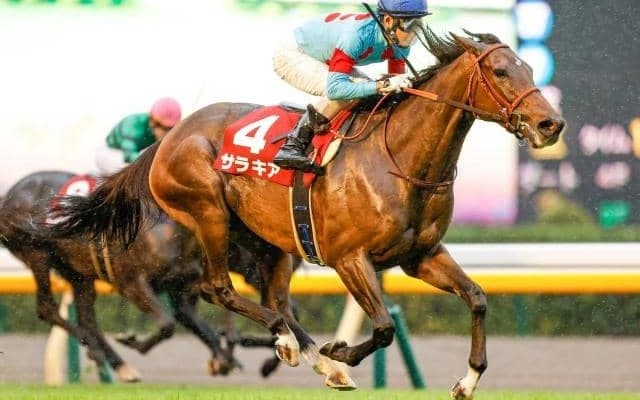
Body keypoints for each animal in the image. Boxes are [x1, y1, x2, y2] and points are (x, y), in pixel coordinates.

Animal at [0, 170, 286, 381]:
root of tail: (10, 194)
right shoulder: (131, 283)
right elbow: (167, 324)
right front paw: (131, 340)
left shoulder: (180, 288)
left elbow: (191, 325)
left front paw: (227, 357)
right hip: (37, 254)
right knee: (47, 308)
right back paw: (98, 353)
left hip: (77, 271)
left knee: (87, 317)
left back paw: (117, 364)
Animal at [43, 29, 565, 398]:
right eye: (501, 71)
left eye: (527, 67)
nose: (550, 123)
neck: (402, 159)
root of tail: (168, 138)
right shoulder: (350, 258)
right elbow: (383, 327)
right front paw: (341, 351)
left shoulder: (421, 256)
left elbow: (476, 298)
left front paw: (467, 380)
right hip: (208, 209)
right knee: (220, 289)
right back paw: (298, 346)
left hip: (266, 241)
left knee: (275, 300)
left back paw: (313, 357)